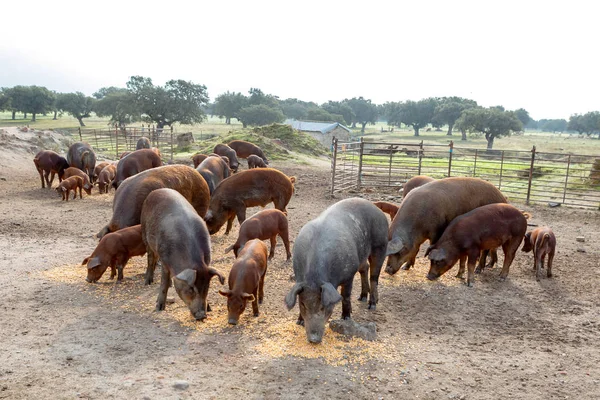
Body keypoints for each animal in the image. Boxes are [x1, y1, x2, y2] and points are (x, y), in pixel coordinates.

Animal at [141, 188, 225, 322]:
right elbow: (163, 282)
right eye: (191, 289)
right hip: (144, 232)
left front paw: (209, 308)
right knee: (150, 258)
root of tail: (158, 190)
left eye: (206, 287)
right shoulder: (164, 260)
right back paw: (148, 282)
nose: (202, 315)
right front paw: (159, 308)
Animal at [286, 197, 390, 344]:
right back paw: (362, 298)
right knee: (365, 268)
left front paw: (345, 318)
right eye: (303, 304)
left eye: (323, 307)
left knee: (374, 276)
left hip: (380, 245)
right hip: (362, 254)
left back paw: (372, 305)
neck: (314, 278)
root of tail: (376, 208)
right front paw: (299, 322)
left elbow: (345, 296)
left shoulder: (349, 274)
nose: (313, 339)